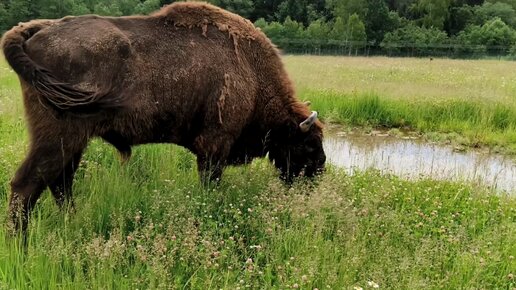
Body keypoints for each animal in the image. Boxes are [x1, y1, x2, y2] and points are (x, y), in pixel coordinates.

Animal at [2, 1, 324, 231]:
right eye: (309, 146)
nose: (318, 174)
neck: (251, 71)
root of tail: (37, 29)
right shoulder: (215, 144)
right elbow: (210, 182)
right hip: (57, 137)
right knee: (27, 184)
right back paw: (20, 243)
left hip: (74, 140)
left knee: (60, 183)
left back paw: (72, 222)